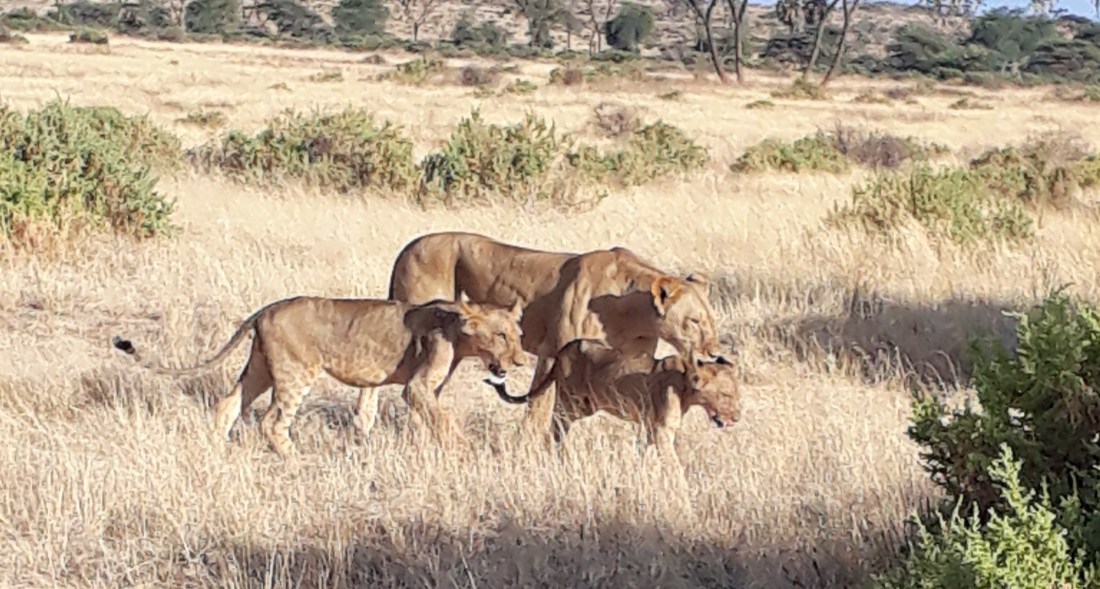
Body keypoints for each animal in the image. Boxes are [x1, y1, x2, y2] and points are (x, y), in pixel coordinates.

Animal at [111, 296, 528, 458]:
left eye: (519, 334)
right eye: (501, 335)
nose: (522, 361)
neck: (458, 329)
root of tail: (266, 309)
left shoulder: (426, 389)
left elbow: (430, 419)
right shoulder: (416, 386)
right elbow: (443, 420)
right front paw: (465, 452)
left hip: (261, 367)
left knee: (227, 403)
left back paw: (214, 448)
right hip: (296, 372)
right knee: (272, 421)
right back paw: (296, 459)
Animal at [494, 338, 741, 456]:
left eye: (736, 395)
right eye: (726, 395)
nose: (737, 417)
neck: (685, 384)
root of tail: (566, 347)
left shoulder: (650, 427)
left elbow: (643, 451)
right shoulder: (663, 430)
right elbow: (674, 465)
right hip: (572, 404)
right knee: (556, 427)